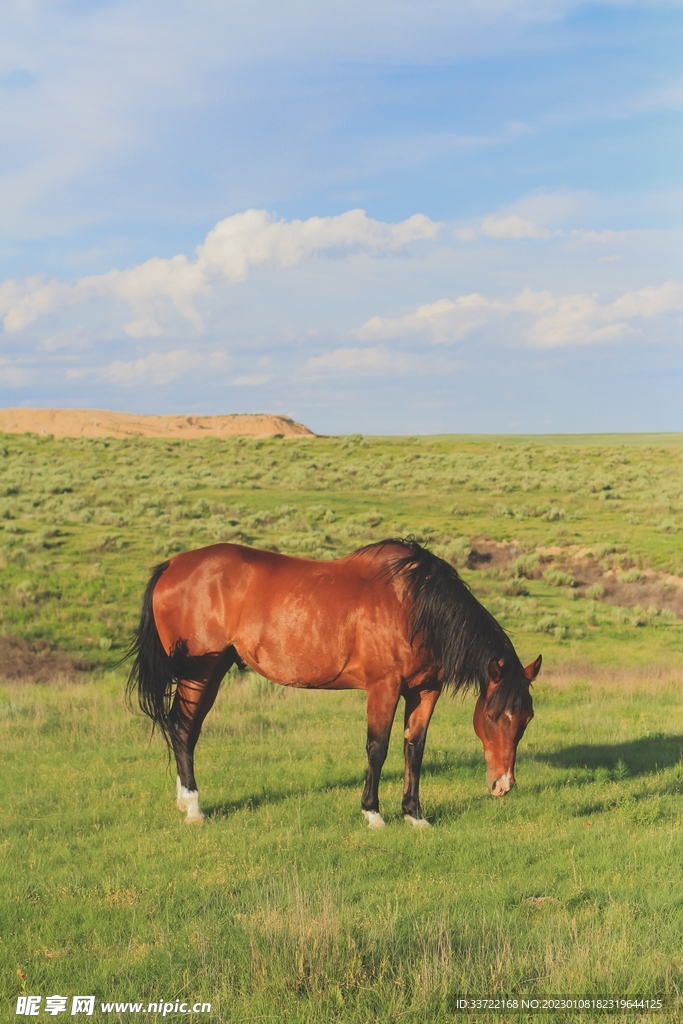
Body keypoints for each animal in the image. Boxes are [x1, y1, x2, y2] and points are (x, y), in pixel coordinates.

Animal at [127, 538, 540, 828]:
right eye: (493, 715)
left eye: (526, 719)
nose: (504, 785)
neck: (414, 605)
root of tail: (172, 565)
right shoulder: (384, 687)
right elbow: (377, 748)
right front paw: (373, 814)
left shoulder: (425, 691)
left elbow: (414, 748)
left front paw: (414, 814)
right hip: (200, 672)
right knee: (183, 729)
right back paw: (194, 808)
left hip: (213, 670)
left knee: (186, 729)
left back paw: (185, 800)